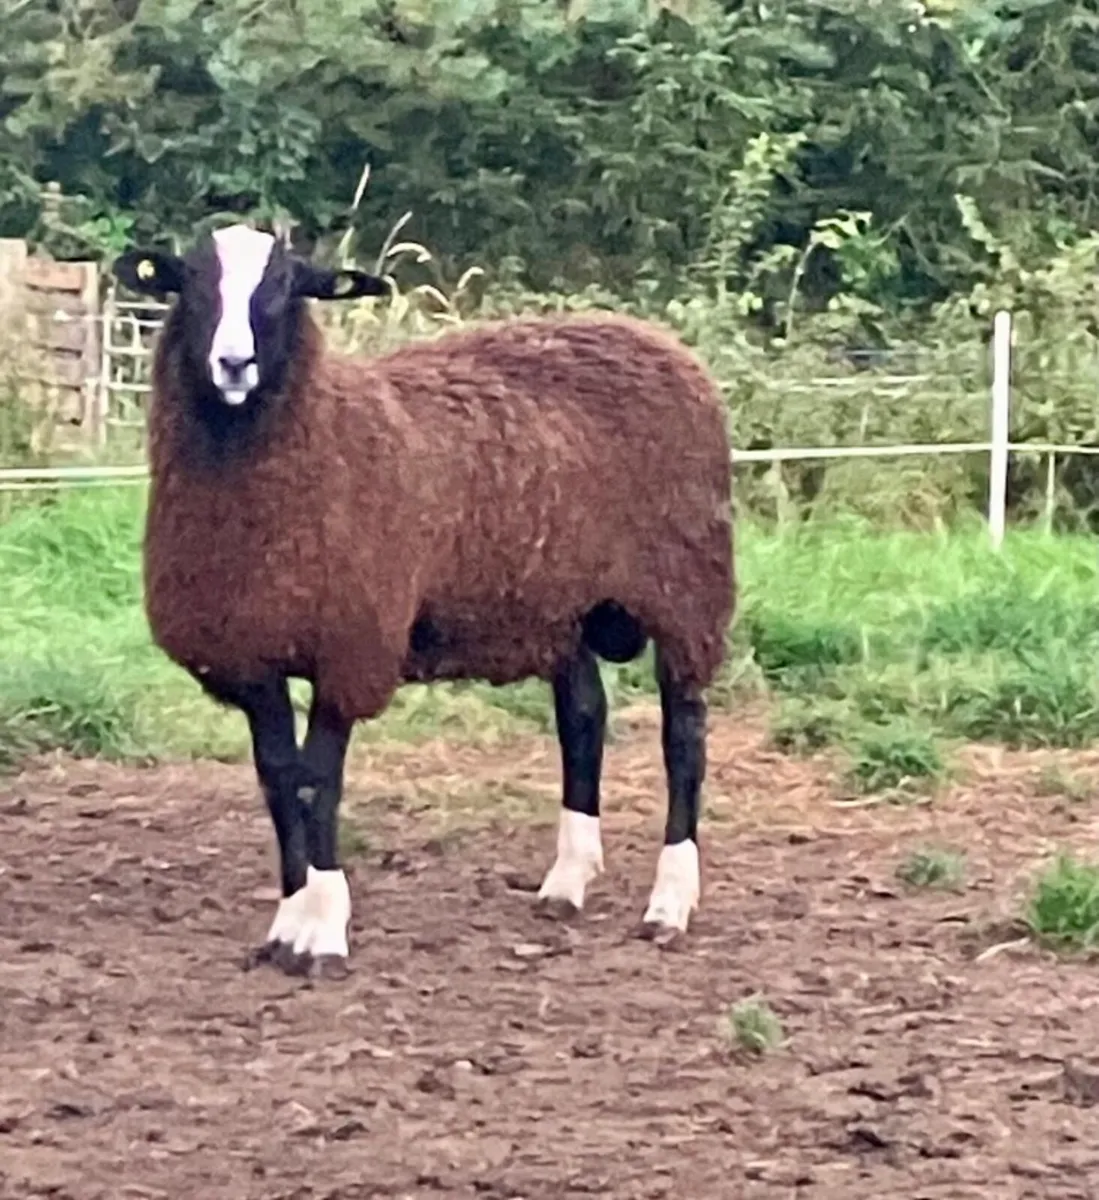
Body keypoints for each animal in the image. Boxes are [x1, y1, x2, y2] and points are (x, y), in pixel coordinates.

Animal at [112, 222, 735, 977]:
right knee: (584, 716)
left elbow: (318, 781)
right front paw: (286, 922)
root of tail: (655, 338)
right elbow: (278, 781)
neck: (321, 438)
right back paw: (566, 883)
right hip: (558, 604)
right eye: (194, 283)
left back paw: (669, 903)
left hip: (686, 592)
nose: (234, 364)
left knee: (684, 737)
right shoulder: (251, 655)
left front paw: (323, 930)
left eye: (285, 287)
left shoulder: (351, 648)